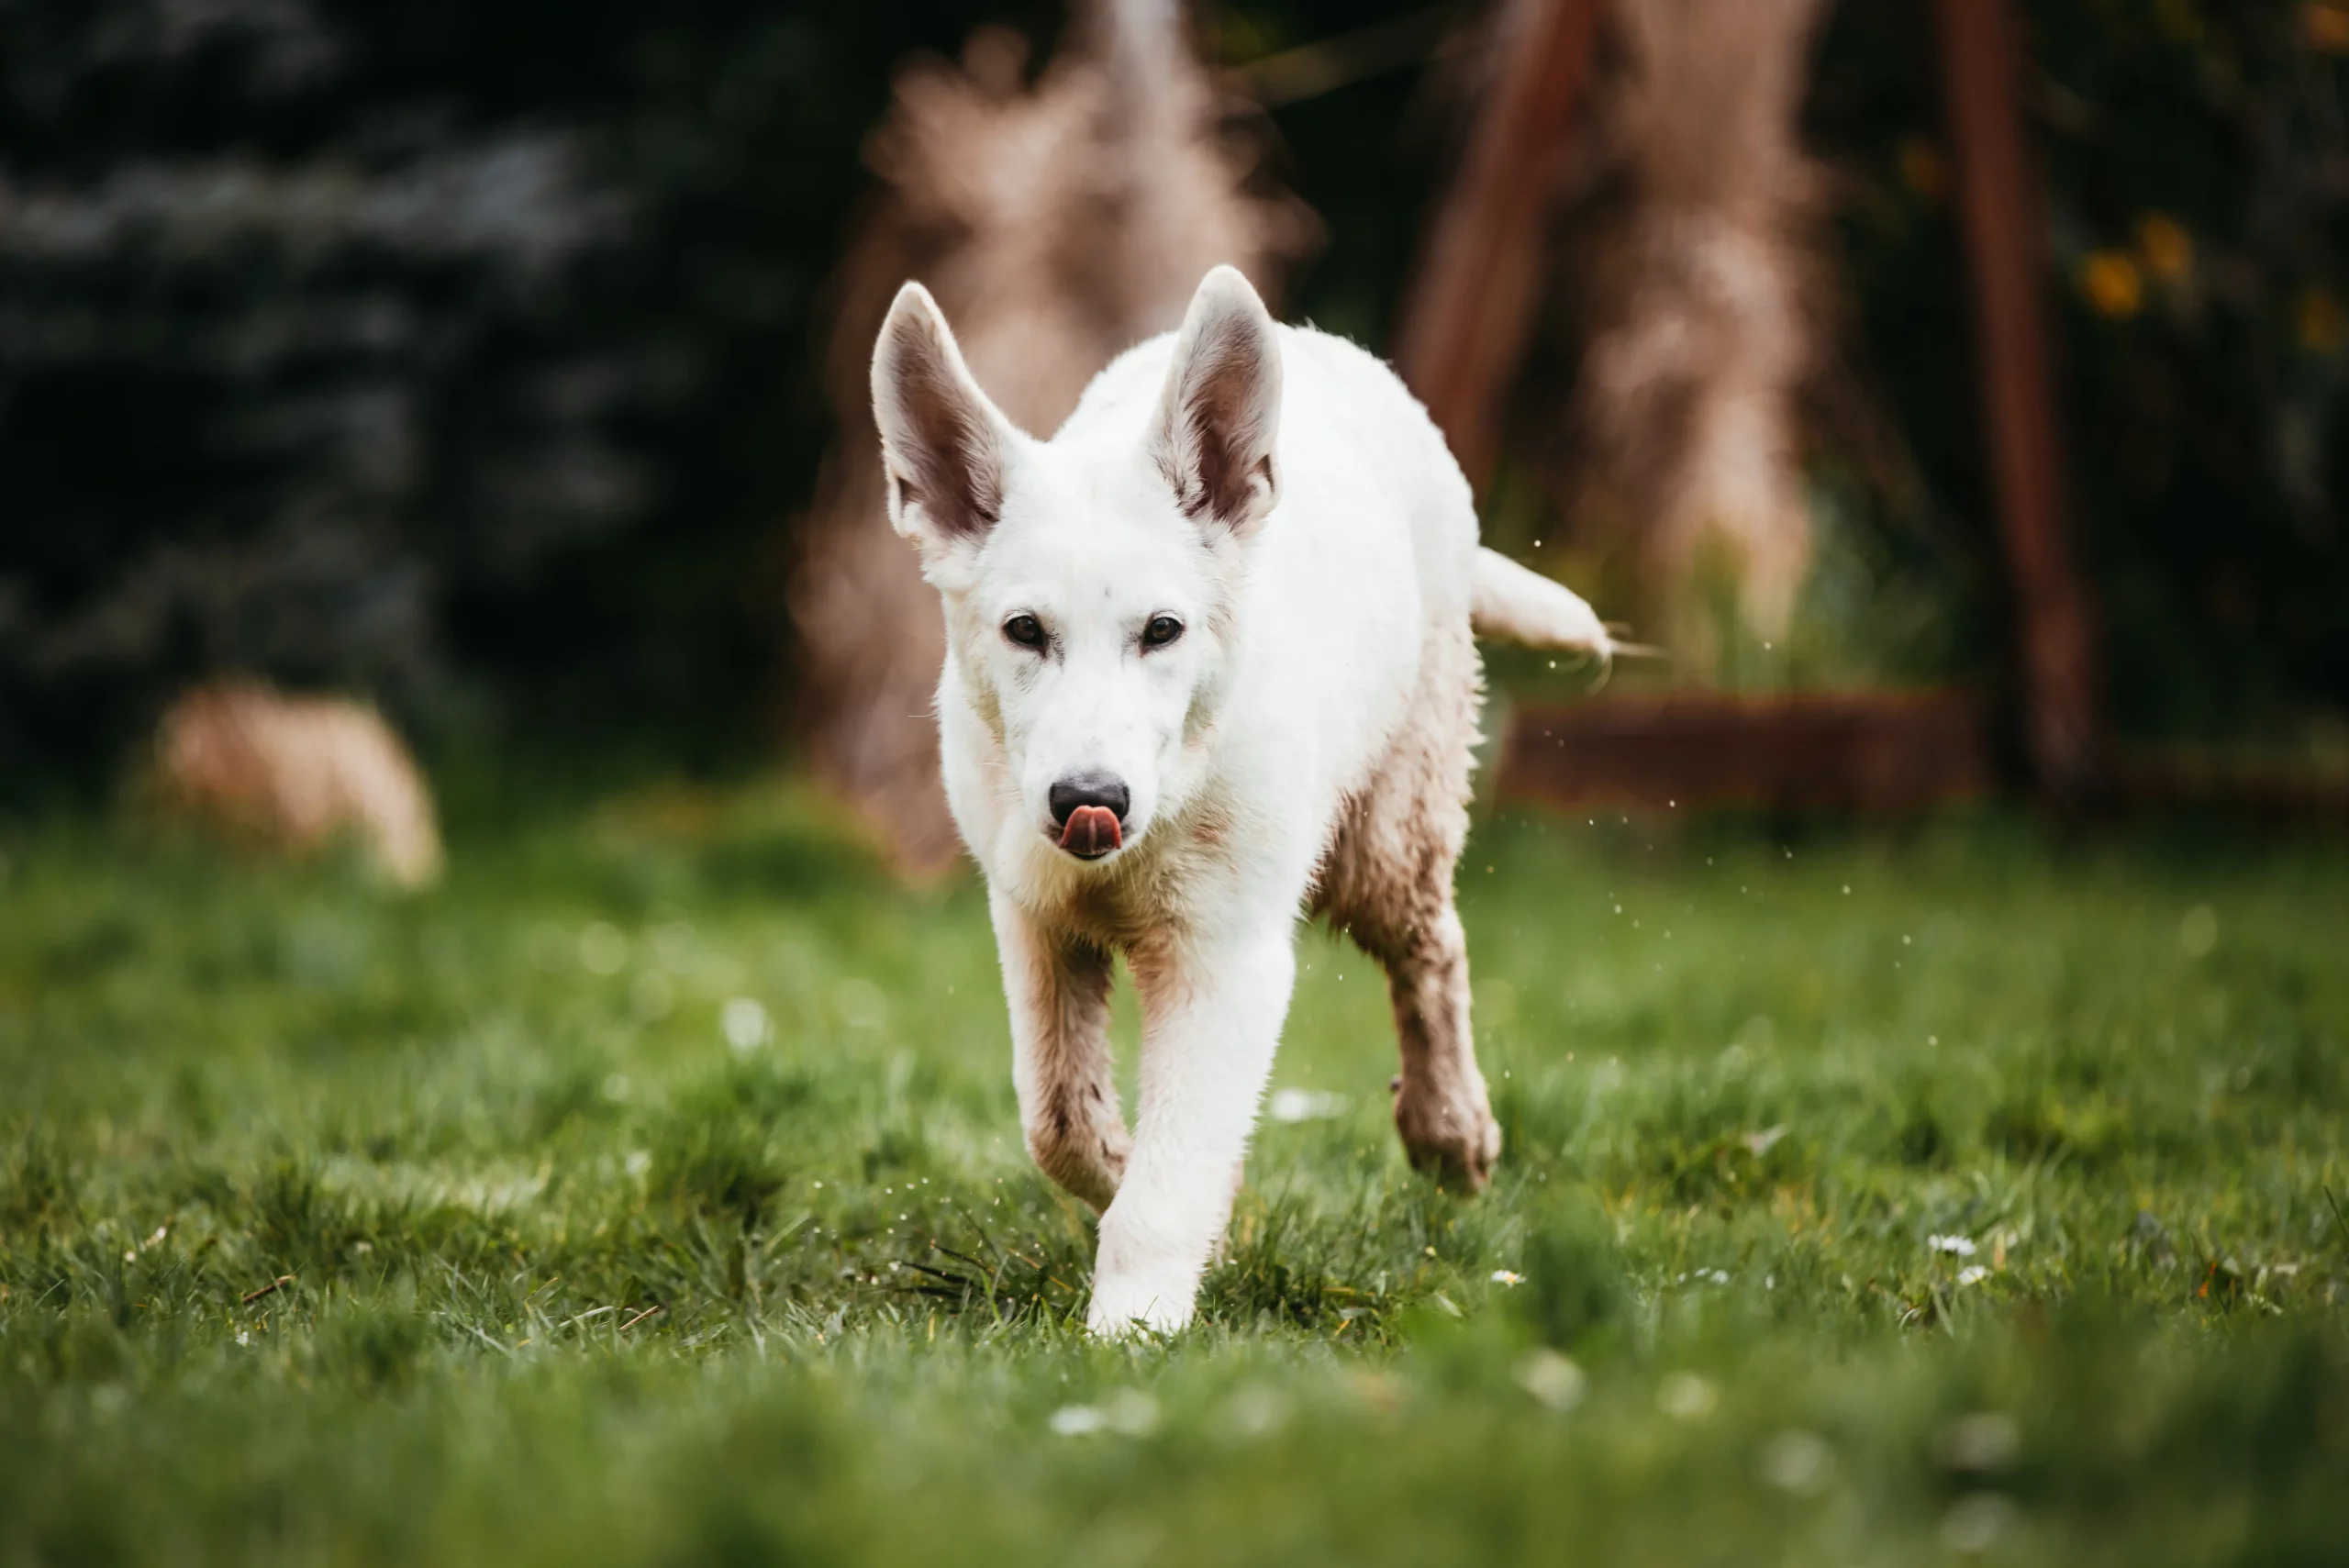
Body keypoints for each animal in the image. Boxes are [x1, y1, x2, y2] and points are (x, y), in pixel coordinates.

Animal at [869, 262, 1616, 1333]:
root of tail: (1320, 343)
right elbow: (1062, 1120)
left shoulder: (1224, 958)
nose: (1087, 798)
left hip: (1389, 830)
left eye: (1162, 630)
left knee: (1433, 947)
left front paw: (1130, 1334)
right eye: (1023, 631)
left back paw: (1451, 1129)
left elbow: (1165, 1179)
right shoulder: (1035, 920)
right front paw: (1170, 1203)